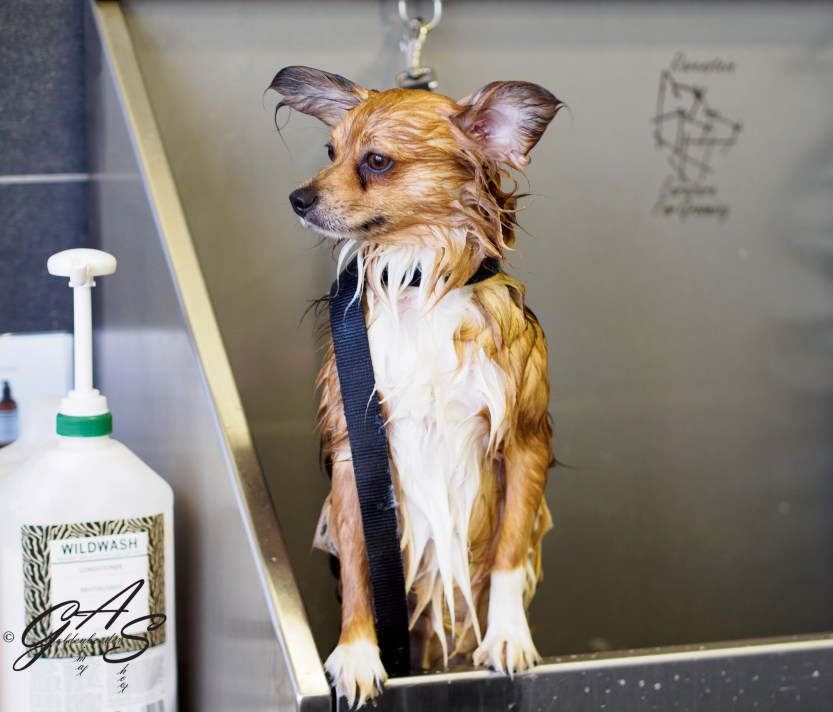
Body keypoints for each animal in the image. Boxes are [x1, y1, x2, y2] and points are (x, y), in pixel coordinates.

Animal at [270, 66, 561, 707]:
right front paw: (357, 651)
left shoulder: (525, 442)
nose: (297, 198)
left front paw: (508, 634)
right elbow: (360, 564)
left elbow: (508, 552)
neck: (420, 276)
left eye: (376, 161)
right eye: (329, 152)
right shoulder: (357, 457)